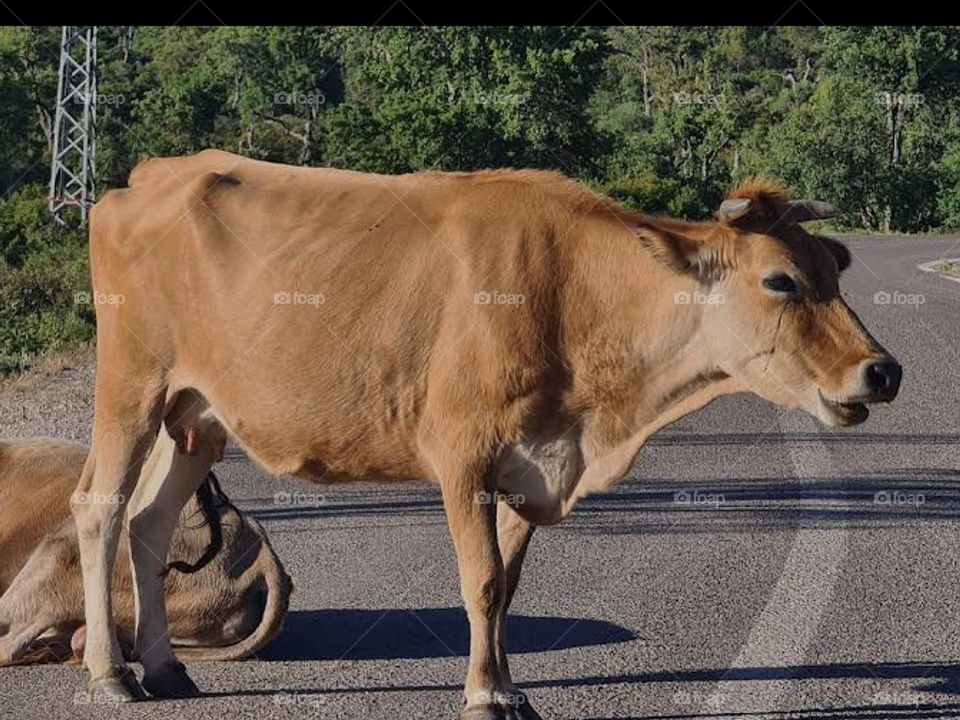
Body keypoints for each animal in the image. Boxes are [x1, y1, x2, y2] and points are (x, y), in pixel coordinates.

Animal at [73, 149, 901, 719]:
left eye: (835, 271)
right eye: (780, 281)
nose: (882, 371)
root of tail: (150, 175)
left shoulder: (536, 462)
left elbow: (509, 583)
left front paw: (505, 684)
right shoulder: (462, 453)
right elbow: (482, 580)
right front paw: (482, 694)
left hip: (196, 416)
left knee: (149, 522)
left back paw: (166, 667)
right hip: (132, 382)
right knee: (100, 509)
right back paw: (113, 674)